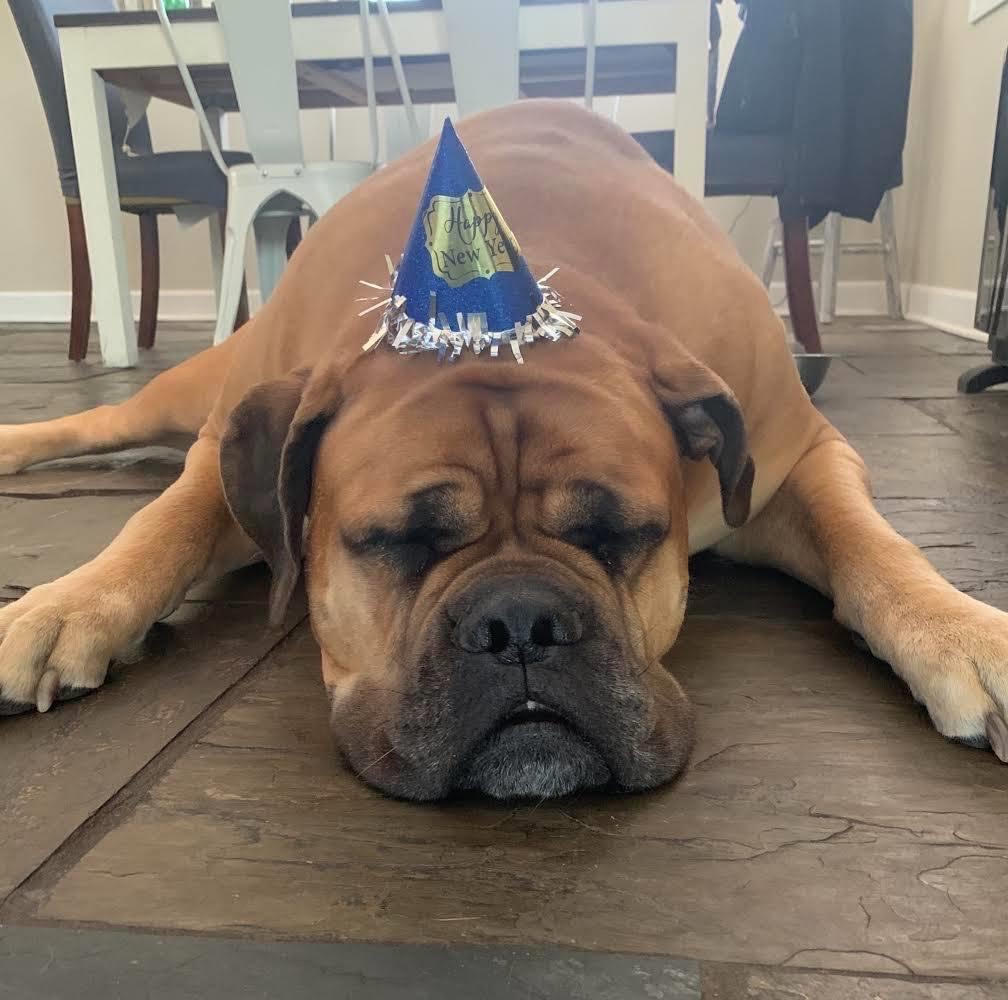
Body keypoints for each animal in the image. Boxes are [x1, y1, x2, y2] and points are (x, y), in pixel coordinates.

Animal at [1, 101, 1006, 801]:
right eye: (398, 544)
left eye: (617, 536)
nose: (520, 623)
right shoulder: (233, 436)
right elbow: (163, 524)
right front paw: (69, 605)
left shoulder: (795, 456)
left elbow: (869, 545)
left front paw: (961, 630)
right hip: (200, 388)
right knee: (105, 424)